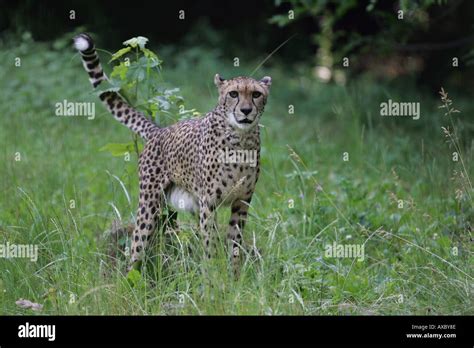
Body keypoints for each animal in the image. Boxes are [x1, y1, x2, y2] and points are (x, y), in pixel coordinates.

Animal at [74, 34, 274, 274]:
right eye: (233, 94)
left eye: (256, 94)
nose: (245, 110)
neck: (241, 138)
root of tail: (159, 130)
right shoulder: (209, 203)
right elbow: (209, 245)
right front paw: (213, 278)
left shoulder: (241, 201)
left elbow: (234, 245)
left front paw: (234, 277)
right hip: (150, 203)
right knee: (136, 245)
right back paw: (130, 278)